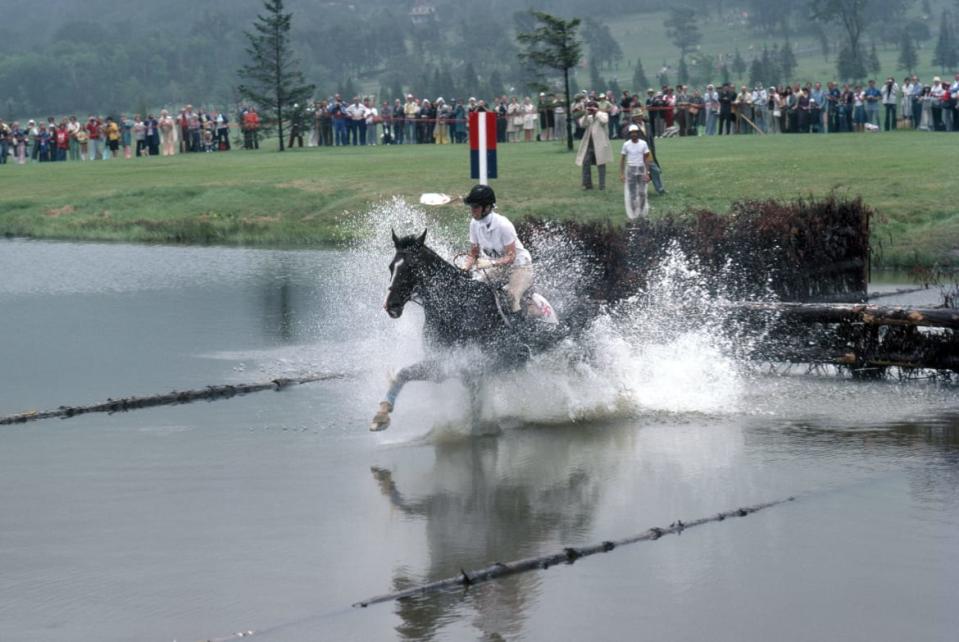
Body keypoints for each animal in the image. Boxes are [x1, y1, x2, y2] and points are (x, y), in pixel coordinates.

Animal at [368, 228, 564, 432]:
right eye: (391, 267)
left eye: (411, 267)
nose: (391, 305)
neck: (455, 307)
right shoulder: (449, 364)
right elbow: (403, 373)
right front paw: (380, 416)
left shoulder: (462, 364)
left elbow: (405, 373)